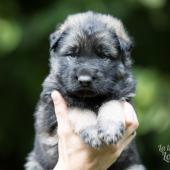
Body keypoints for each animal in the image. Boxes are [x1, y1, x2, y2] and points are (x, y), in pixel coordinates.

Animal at [24, 11, 145, 169]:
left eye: (103, 56)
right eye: (72, 54)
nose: (84, 80)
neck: (91, 98)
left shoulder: (123, 96)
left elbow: (111, 103)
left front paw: (110, 128)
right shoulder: (54, 103)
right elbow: (80, 109)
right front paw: (93, 132)